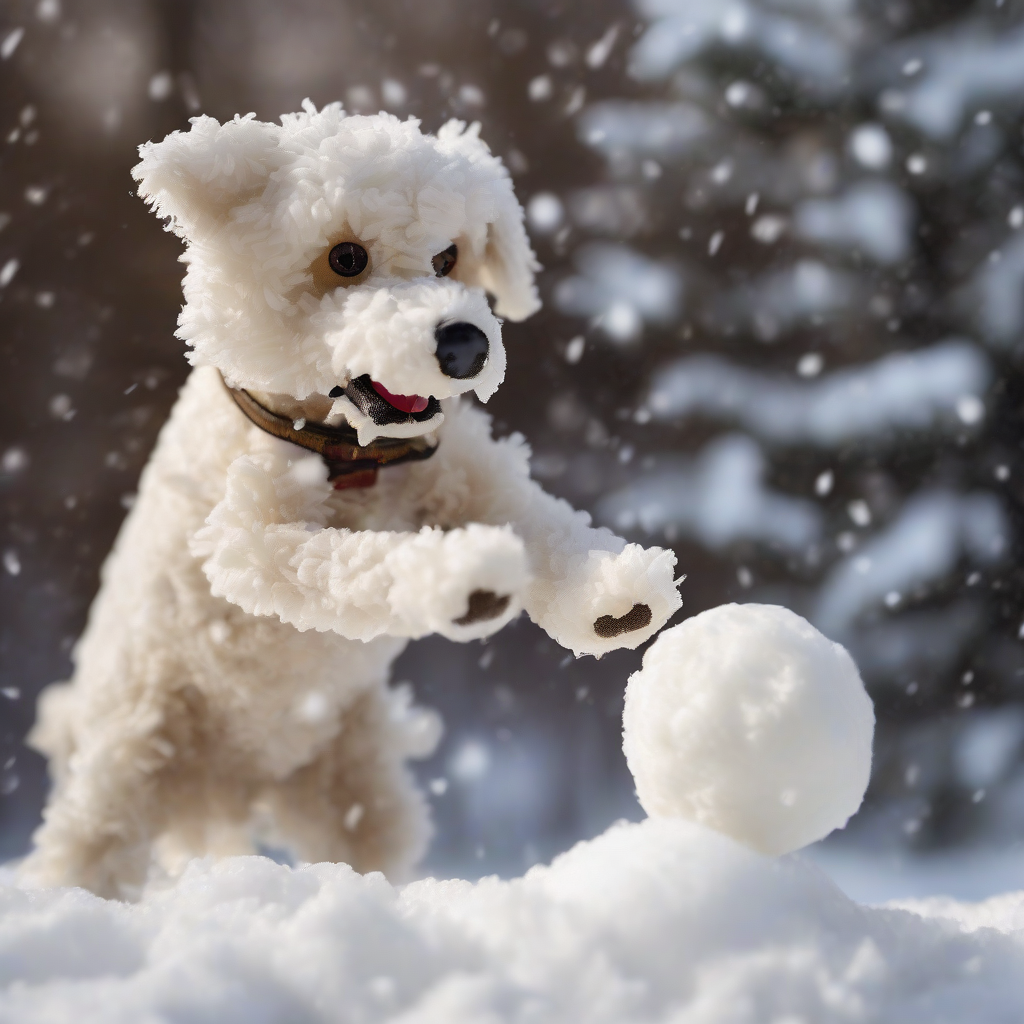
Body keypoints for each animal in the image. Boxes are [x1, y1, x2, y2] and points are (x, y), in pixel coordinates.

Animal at [22, 101, 679, 897]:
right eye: (346, 260)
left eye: (448, 257)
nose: (465, 345)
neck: (351, 452)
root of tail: (226, 793)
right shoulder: (250, 542)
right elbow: (350, 565)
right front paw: (463, 576)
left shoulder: (471, 476)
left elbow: (546, 525)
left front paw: (616, 594)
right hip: (127, 766)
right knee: (82, 849)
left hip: (355, 783)